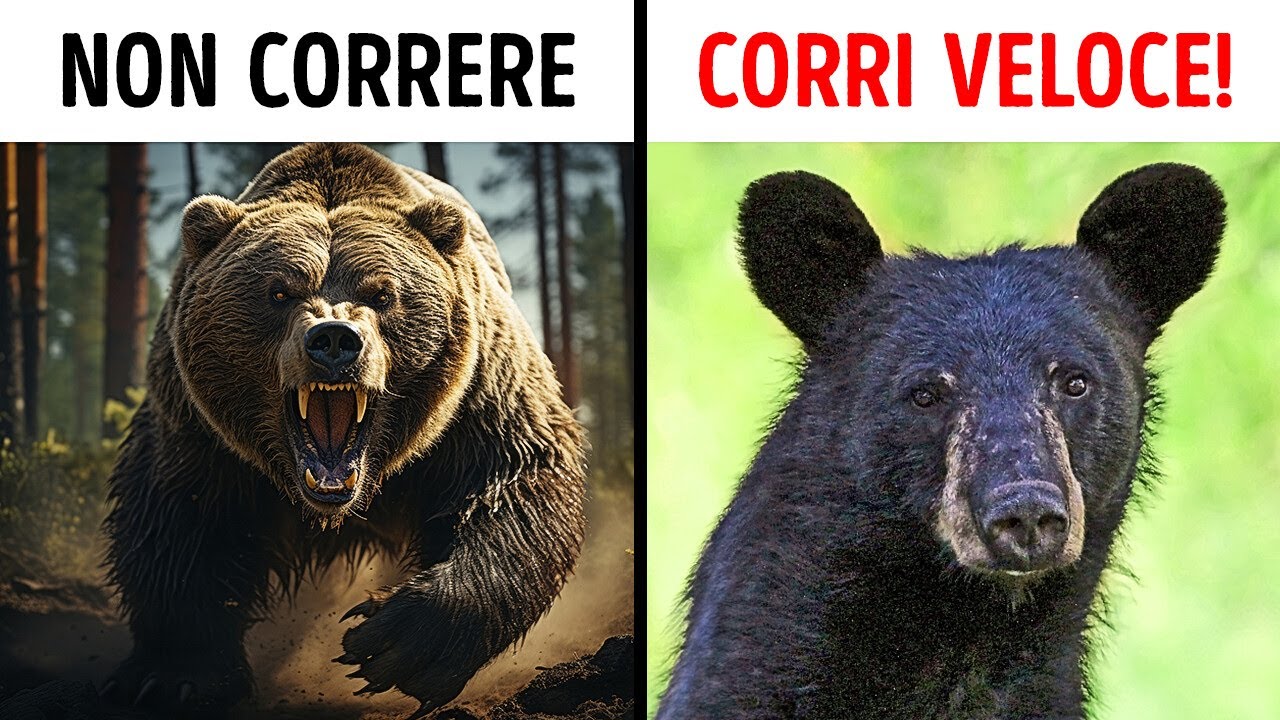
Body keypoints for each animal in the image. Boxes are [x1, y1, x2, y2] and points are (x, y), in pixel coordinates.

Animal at [99, 143, 587, 717]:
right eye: (280, 291)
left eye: (382, 294)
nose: (333, 339)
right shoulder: (198, 426)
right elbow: (179, 519)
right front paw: (172, 676)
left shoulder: (477, 396)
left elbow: (515, 482)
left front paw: (391, 642)